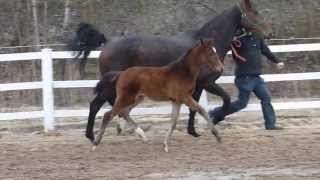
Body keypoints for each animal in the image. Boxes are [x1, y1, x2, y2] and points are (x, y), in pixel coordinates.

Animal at [69, 0, 272, 139]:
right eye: (254, 12)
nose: (268, 34)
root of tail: (108, 43)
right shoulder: (207, 82)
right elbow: (226, 98)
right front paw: (216, 118)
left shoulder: (196, 86)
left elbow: (194, 107)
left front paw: (193, 131)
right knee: (98, 105)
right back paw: (98, 135)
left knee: (112, 107)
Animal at [92, 39, 222, 152]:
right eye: (211, 53)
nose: (221, 68)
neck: (183, 72)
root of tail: (121, 74)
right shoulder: (185, 97)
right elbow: (201, 110)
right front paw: (218, 136)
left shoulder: (177, 100)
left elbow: (174, 121)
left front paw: (165, 145)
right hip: (126, 98)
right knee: (108, 115)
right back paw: (95, 144)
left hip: (136, 99)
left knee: (124, 113)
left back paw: (143, 136)